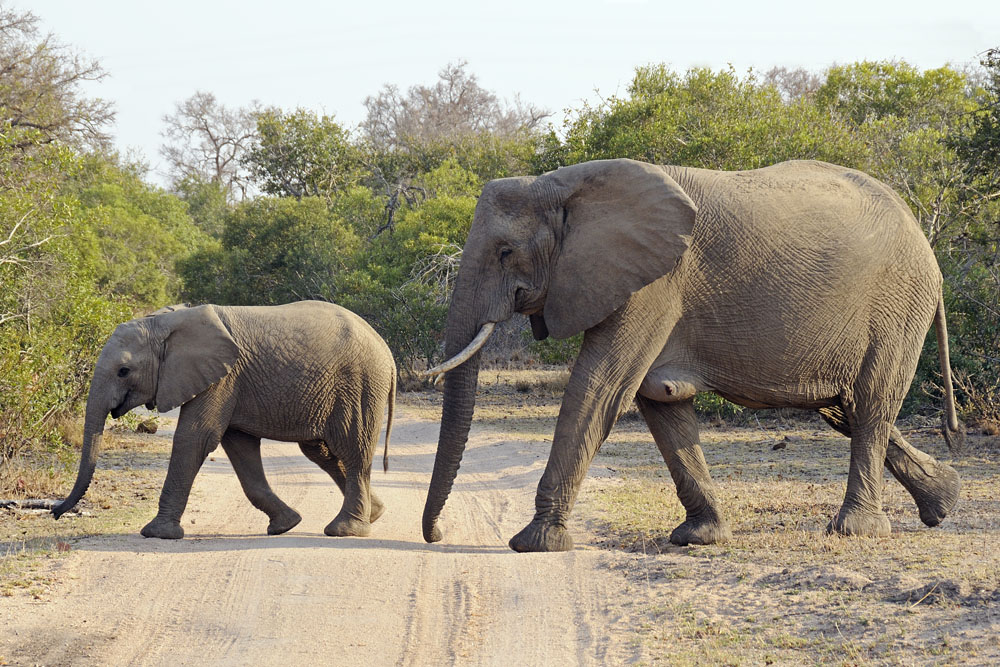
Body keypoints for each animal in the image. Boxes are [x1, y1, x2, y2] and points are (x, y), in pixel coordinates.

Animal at [52, 300, 396, 540]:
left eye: (124, 371)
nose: (54, 511)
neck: (165, 322)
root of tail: (387, 351)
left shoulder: (222, 377)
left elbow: (195, 437)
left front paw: (157, 534)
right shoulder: (230, 380)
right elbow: (240, 449)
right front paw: (285, 525)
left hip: (360, 385)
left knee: (353, 451)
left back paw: (346, 530)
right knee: (321, 452)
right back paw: (375, 514)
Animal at [421, 158, 964, 553]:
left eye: (506, 252)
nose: (438, 535)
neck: (561, 185)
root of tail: (922, 237)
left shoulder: (654, 284)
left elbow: (600, 388)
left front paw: (534, 543)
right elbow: (658, 398)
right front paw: (700, 538)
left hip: (897, 305)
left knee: (871, 403)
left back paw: (855, 530)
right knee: (843, 407)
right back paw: (944, 501)